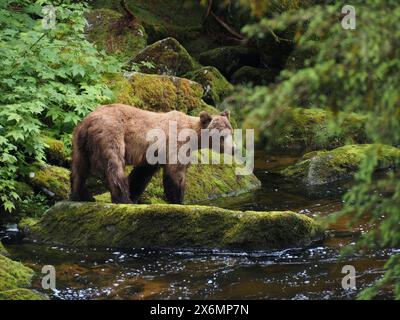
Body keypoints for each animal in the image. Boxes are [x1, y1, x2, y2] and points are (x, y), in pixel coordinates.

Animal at [70, 104, 234, 204]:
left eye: (231, 132)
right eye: (222, 136)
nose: (234, 148)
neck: (194, 137)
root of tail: (88, 121)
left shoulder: (154, 153)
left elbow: (142, 174)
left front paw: (135, 192)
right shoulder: (175, 143)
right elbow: (176, 171)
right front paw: (178, 199)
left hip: (80, 141)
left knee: (79, 168)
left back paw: (80, 195)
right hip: (111, 133)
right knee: (114, 165)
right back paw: (123, 198)